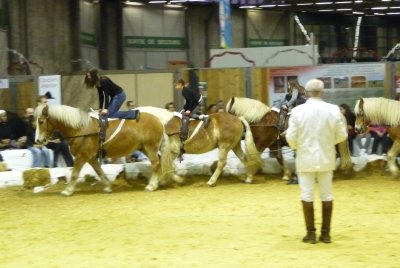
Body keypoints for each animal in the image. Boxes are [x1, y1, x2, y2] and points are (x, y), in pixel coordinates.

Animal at [35, 104, 171, 195]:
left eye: (41, 121)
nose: (38, 140)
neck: (81, 129)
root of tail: (159, 120)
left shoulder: (83, 155)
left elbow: (74, 173)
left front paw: (67, 191)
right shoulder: (91, 157)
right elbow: (99, 171)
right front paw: (107, 187)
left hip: (150, 147)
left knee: (156, 164)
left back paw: (151, 186)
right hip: (145, 148)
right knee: (160, 162)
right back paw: (162, 181)